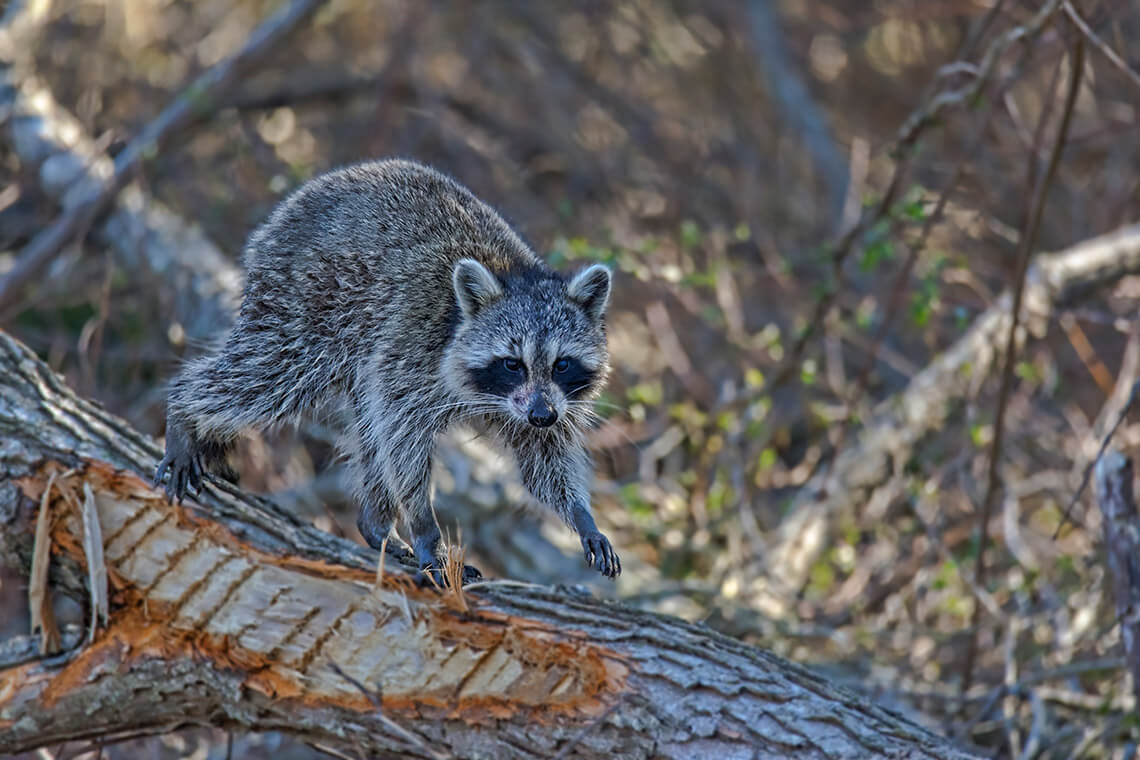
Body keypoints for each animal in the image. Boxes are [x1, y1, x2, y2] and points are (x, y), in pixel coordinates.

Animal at [154, 159, 620, 581]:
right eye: (512, 363)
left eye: (562, 363)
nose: (543, 415)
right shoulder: (414, 354)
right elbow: (403, 441)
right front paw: (425, 525)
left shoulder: (537, 402)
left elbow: (543, 458)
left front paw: (580, 513)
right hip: (307, 299)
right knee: (271, 375)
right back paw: (183, 411)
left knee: (368, 425)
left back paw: (375, 524)